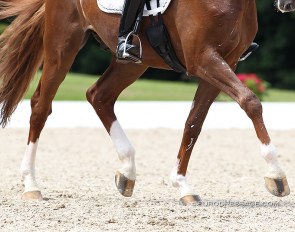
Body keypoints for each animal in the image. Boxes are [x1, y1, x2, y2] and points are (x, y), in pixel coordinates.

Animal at [0, 0, 292, 204]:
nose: (287, 5)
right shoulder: (204, 59)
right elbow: (250, 101)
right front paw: (277, 175)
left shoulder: (224, 62)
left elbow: (194, 122)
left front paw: (182, 185)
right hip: (63, 43)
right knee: (41, 106)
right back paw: (31, 185)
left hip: (134, 61)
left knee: (99, 96)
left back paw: (127, 171)